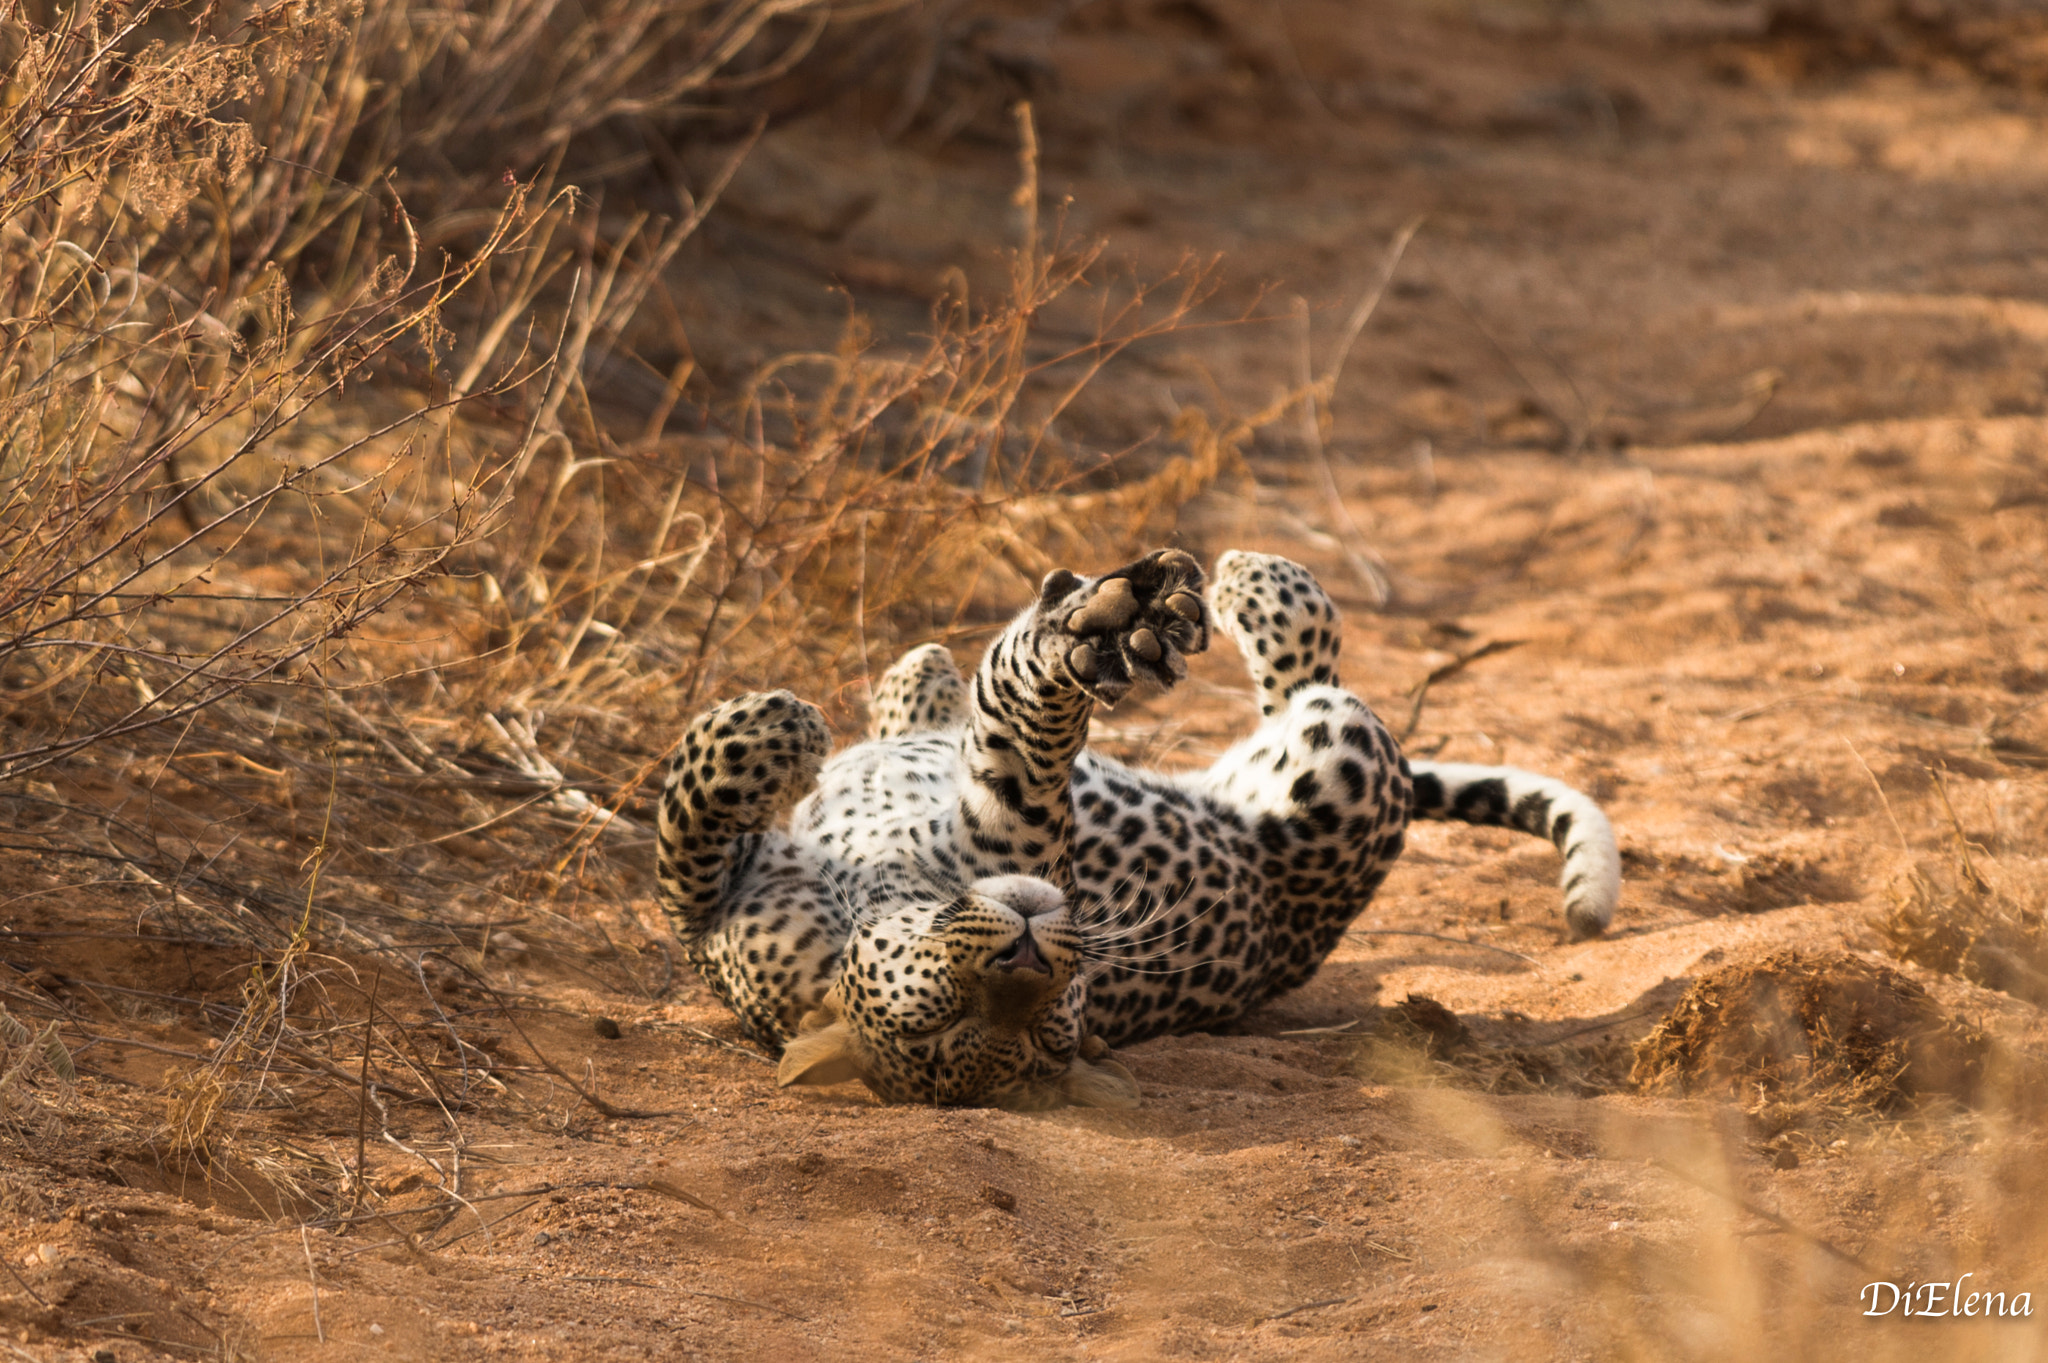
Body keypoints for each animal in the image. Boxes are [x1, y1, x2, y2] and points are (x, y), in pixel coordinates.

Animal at [655, 548, 1621, 1110]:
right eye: (943, 1012)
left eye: (1049, 1019)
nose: (1033, 940)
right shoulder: (1013, 831)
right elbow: (682, 854)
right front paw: (781, 728)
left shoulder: (1010, 840)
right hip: (1340, 766)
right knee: (1321, 685)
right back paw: (1240, 586)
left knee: (1309, 682)